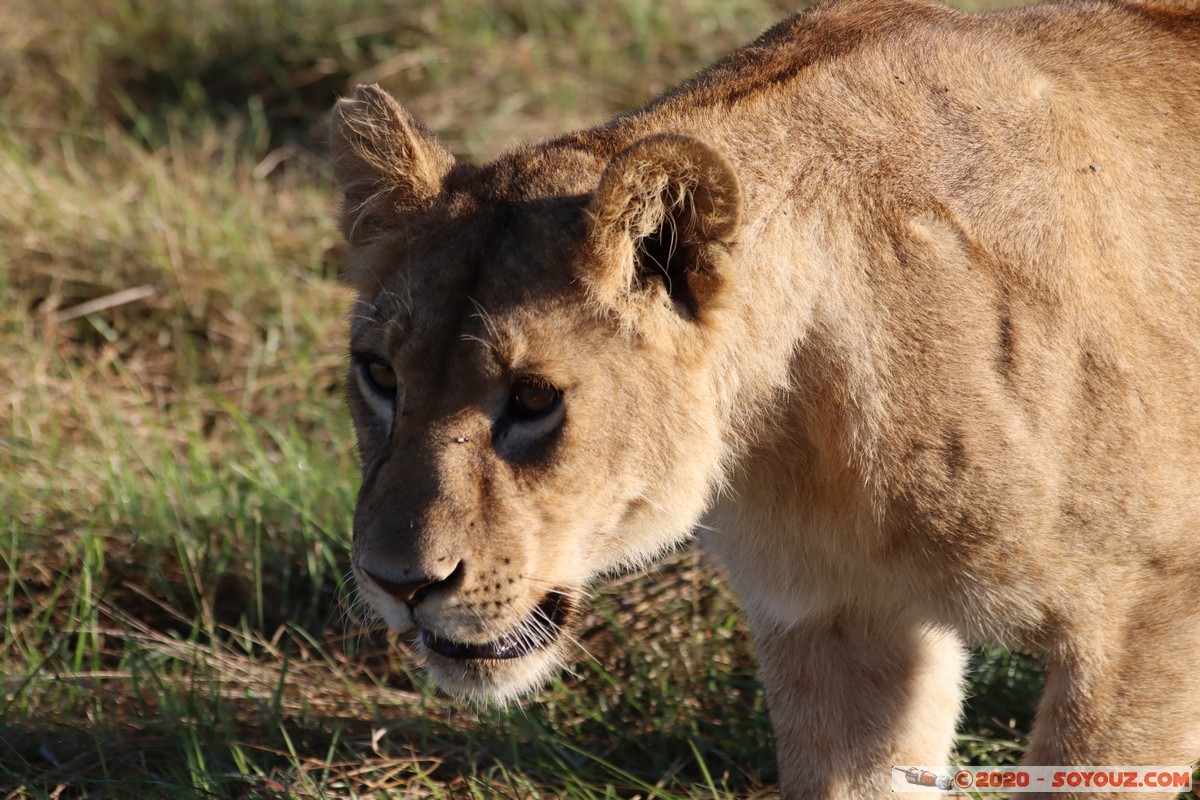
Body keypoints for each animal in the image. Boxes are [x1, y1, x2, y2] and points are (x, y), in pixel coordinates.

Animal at [328, 0, 1200, 796]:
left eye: (534, 398)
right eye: (380, 376)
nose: (398, 584)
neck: (790, 435)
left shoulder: (1148, 607)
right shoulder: (835, 621)